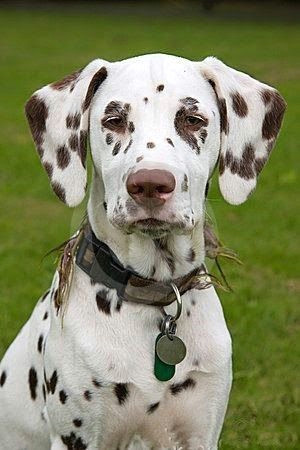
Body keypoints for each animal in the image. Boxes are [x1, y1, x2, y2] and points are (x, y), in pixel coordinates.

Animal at [0, 53, 286, 450]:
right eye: (114, 120)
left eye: (192, 120)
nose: (150, 183)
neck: (154, 297)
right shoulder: (77, 437)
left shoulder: (200, 433)